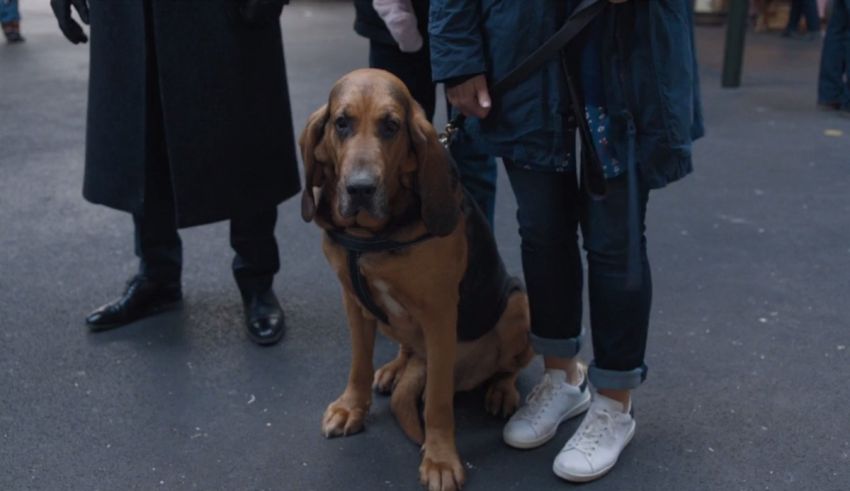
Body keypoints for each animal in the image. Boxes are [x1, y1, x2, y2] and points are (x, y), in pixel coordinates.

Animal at [298, 70, 528, 491]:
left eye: (391, 126)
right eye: (342, 123)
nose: (360, 188)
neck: (371, 236)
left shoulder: (439, 316)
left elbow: (436, 400)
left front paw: (439, 459)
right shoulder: (352, 301)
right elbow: (358, 362)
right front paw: (351, 408)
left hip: (517, 304)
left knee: (512, 364)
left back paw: (501, 390)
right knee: (406, 350)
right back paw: (395, 369)